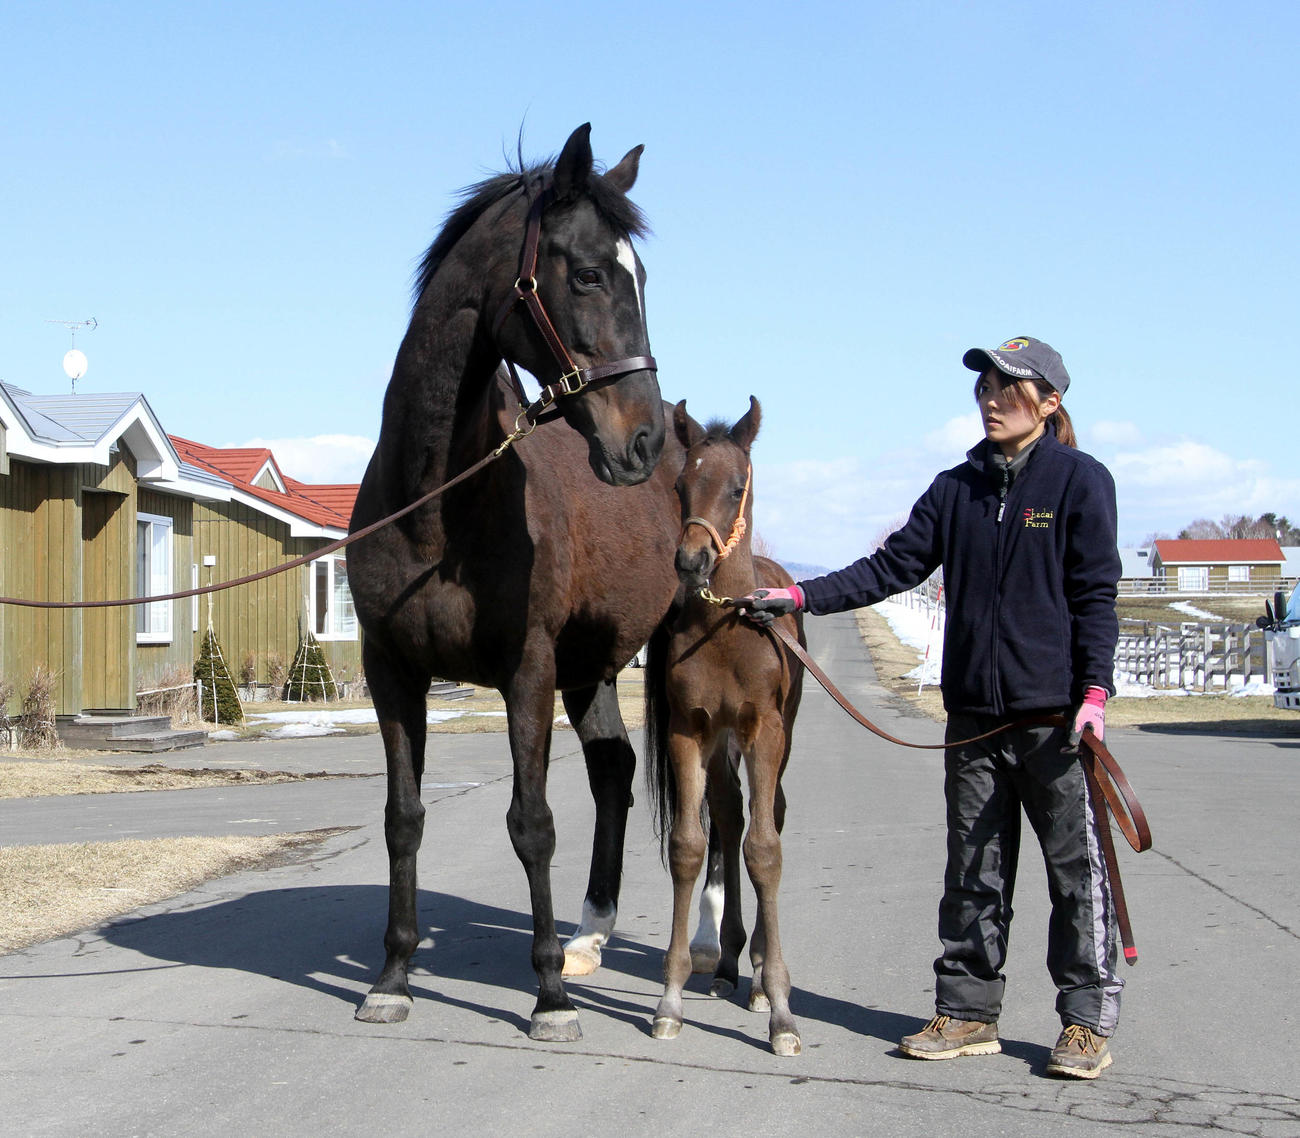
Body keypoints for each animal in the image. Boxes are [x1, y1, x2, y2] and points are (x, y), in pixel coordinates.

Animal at [347, 124, 684, 1043]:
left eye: (644, 276)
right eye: (591, 272)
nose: (640, 442)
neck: (436, 508)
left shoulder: (525, 670)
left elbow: (532, 824)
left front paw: (550, 997)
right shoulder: (392, 672)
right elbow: (402, 820)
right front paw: (393, 976)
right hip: (592, 669)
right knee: (613, 772)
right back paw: (591, 935)